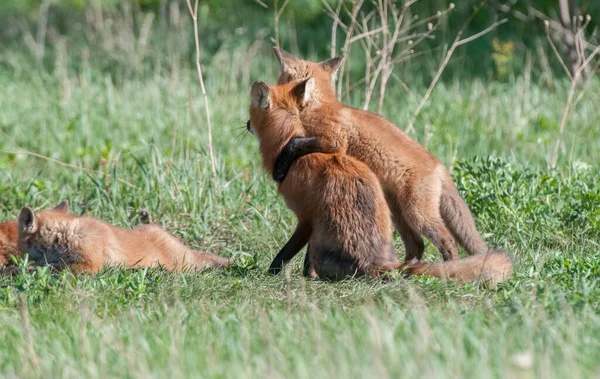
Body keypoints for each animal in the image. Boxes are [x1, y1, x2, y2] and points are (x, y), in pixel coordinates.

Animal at [272, 47, 496, 264]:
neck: (318, 105)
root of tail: (439, 165)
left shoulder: (333, 140)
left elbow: (294, 144)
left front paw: (280, 166)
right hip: (399, 214)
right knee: (417, 244)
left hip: (418, 214)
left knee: (447, 241)